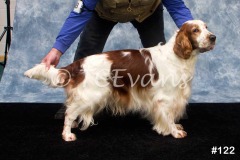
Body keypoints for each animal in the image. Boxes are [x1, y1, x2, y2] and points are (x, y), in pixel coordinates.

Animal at [24, 19, 216, 141]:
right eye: (195, 30)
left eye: (206, 27)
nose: (213, 37)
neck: (178, 56)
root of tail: (79, 63)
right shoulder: (166, 97)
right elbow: (168, 116)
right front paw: (174, 132)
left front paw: (173, 127)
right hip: (90, 95)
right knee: (69, 114)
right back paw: (67, 135)